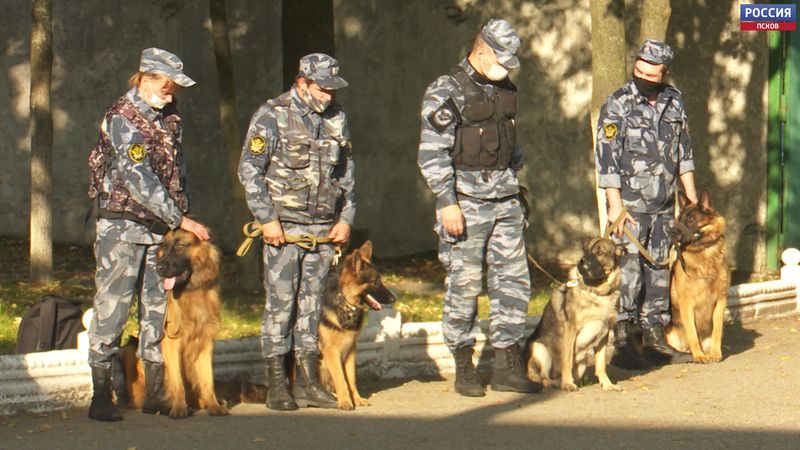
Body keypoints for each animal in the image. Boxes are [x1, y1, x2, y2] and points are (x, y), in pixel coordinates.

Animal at [318, 241, 396, 410]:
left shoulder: (350, 350)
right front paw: (345, 402)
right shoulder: (331, 352)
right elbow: (341, 379)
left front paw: (357, 399)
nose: (394, 299)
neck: (344, 304)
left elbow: (351, 378)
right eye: (375, 281)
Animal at [528, 237, 628, 392]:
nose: (581, 263)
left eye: (600, 252)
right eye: (585, 250)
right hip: (540, 350)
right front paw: (568, 383)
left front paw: (607, 384)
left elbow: (600, 364)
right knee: (543, 377)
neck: (596, 293)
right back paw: (554, 384)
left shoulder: (604, 334)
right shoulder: (571, 329)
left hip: (581, 366)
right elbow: (567, 360)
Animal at [664, 192, 732, 364]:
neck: (704, 253)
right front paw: (699, 356)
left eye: (690, 220)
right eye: (679, 218)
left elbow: (717, 331)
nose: (671, 232)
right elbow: (692, 333)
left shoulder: (721, 300)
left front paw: (715, 353)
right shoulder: (686, 303)